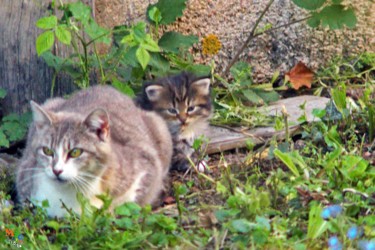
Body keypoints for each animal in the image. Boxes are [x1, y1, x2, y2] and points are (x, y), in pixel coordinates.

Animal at [16, 85, 172, 217]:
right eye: (47, 151)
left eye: (75, 152)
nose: (56, 170)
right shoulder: (25, 173)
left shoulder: (146, 164)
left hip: (159, 126)